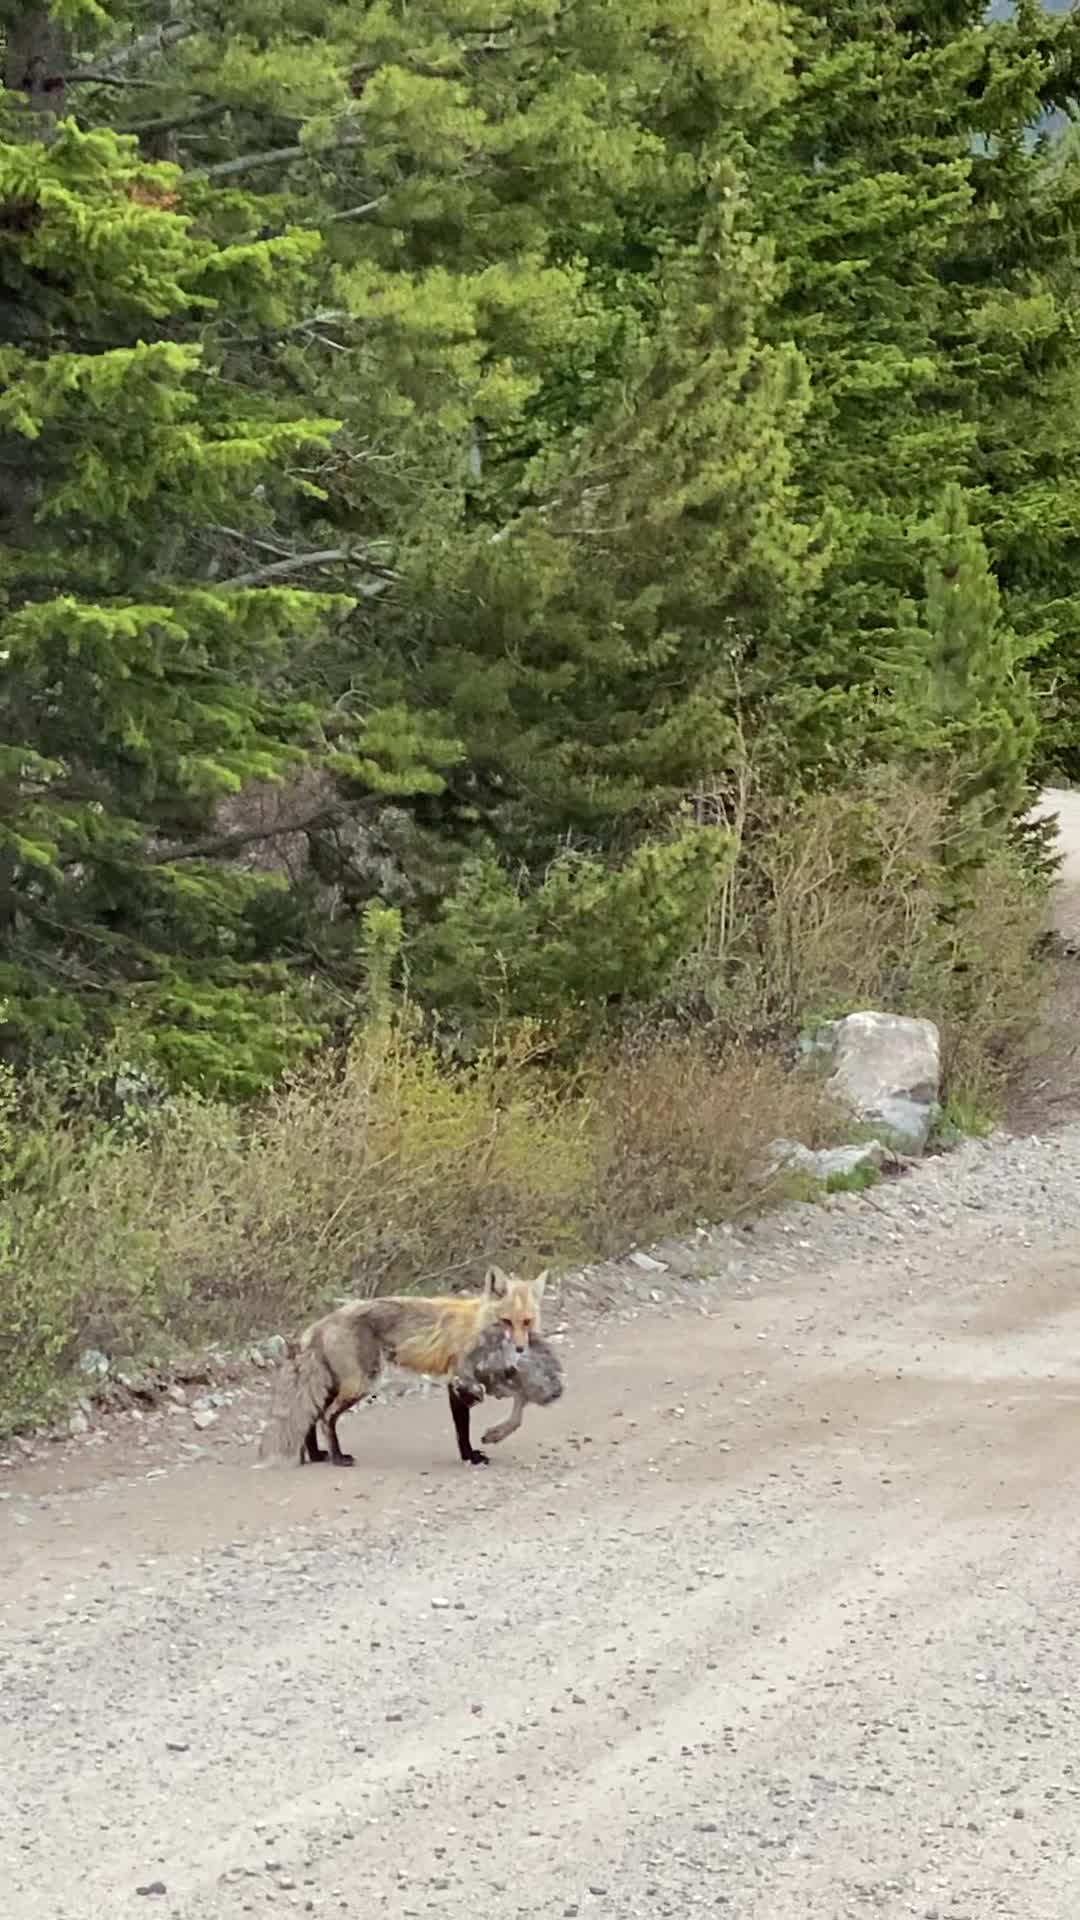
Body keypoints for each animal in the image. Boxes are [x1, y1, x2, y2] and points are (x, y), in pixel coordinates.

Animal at [258, 1265, 548, 1469]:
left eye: (527, 1322)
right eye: (506, 1321)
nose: (521, 1348)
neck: (479, 1329)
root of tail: (320, 1323)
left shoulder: (483, 1381)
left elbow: (517, 1411)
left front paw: (493, 1437)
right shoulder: (458, 1381)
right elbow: (462, 1430)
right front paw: (471, 1458)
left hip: (339, 1383)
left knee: (313, 1416)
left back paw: (317, 1454)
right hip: (362, 1383)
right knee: (326, 1417)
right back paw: (337, 1458)